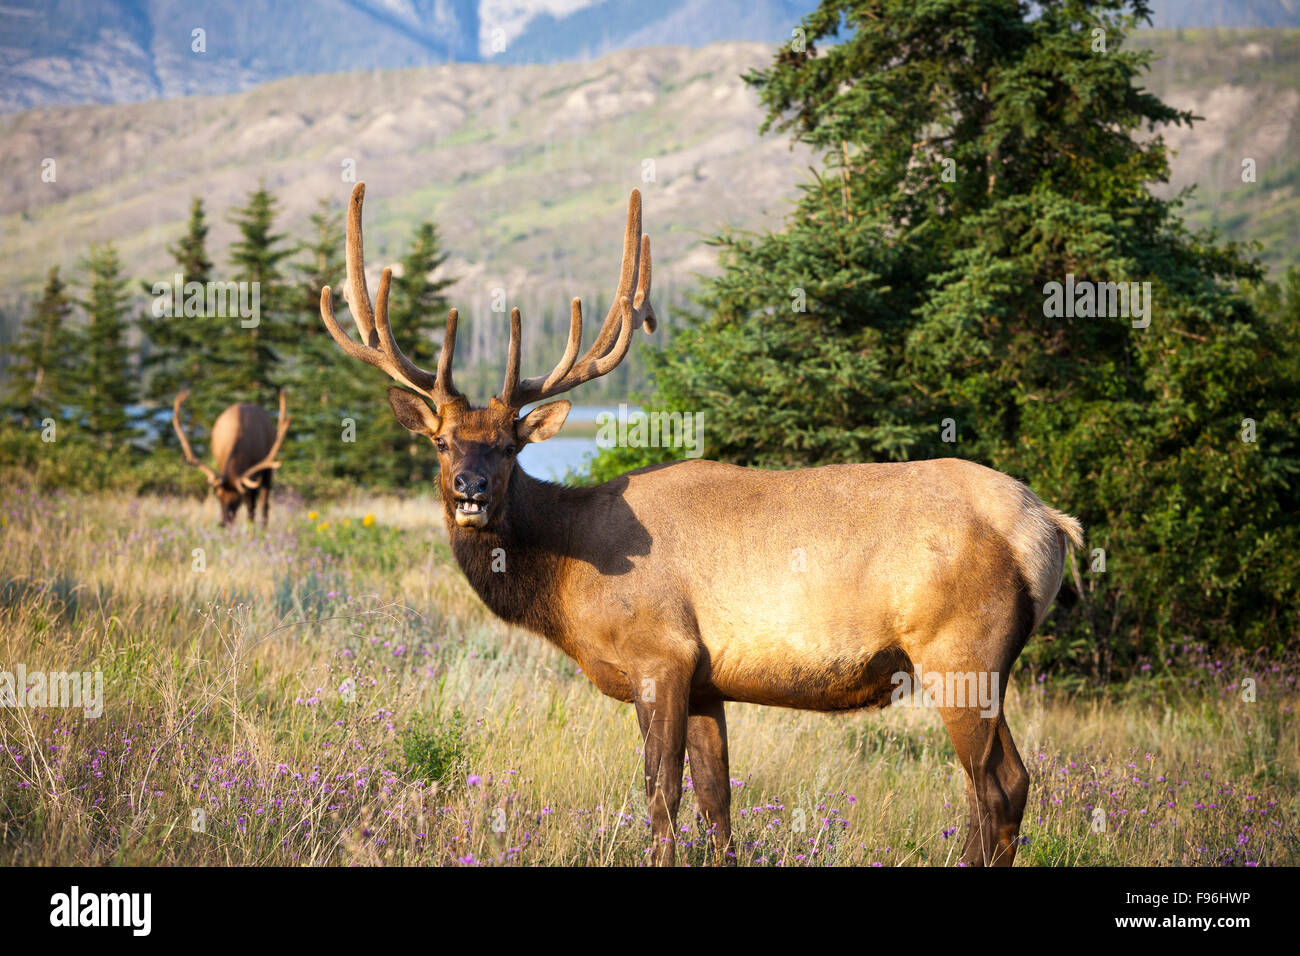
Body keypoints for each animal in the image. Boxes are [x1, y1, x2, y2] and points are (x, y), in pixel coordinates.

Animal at [171, 390, 291, 530]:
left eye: (237, 499)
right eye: (218, 496)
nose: (223, 523)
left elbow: (252, 506)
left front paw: (253, 530)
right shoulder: (221, 463)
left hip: (267, 469)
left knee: (263, 503)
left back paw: (263, 527)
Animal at [319, 183, 1081, 868]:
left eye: (510, 446)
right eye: (442, 442)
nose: (470, 491)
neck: (566, 576)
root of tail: (1049, 523)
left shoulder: (661, 654)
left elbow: (661, 799)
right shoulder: (709, 680)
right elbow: (718, 802)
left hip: (961, 648)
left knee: (999, 787)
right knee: (1002, 786)